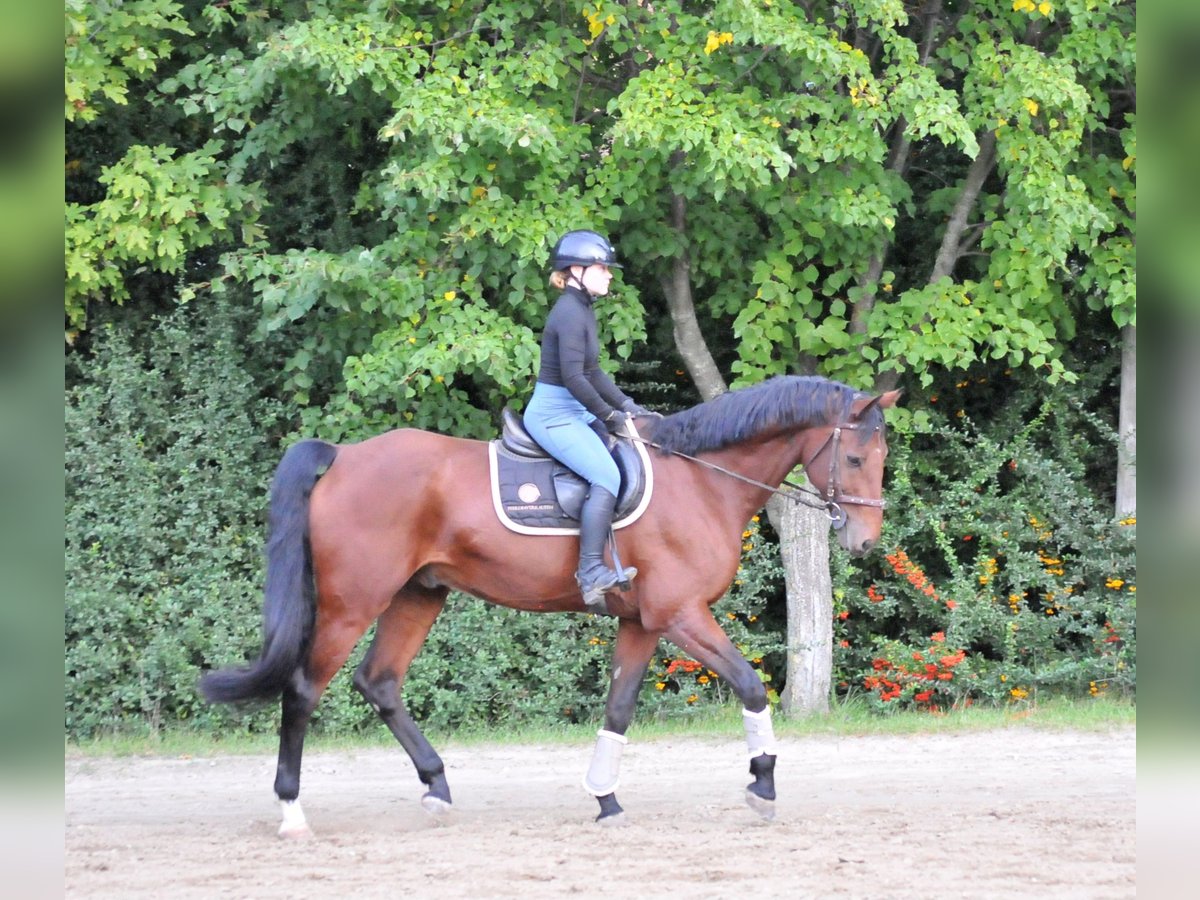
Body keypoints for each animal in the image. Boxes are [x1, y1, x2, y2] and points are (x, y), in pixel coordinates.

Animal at [200, 375, 900, 836]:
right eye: (855, 457)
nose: (866, 541)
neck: (701, 479)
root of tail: (345, 456)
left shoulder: (642, 622)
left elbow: (618, 709)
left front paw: (605, 799)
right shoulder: (680, 615)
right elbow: (752, 687)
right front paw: (763, 783)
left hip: (418, 594)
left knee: (380, 682)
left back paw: (437, 786)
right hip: (353, 602)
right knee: (303, 690)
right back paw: (292, 810)